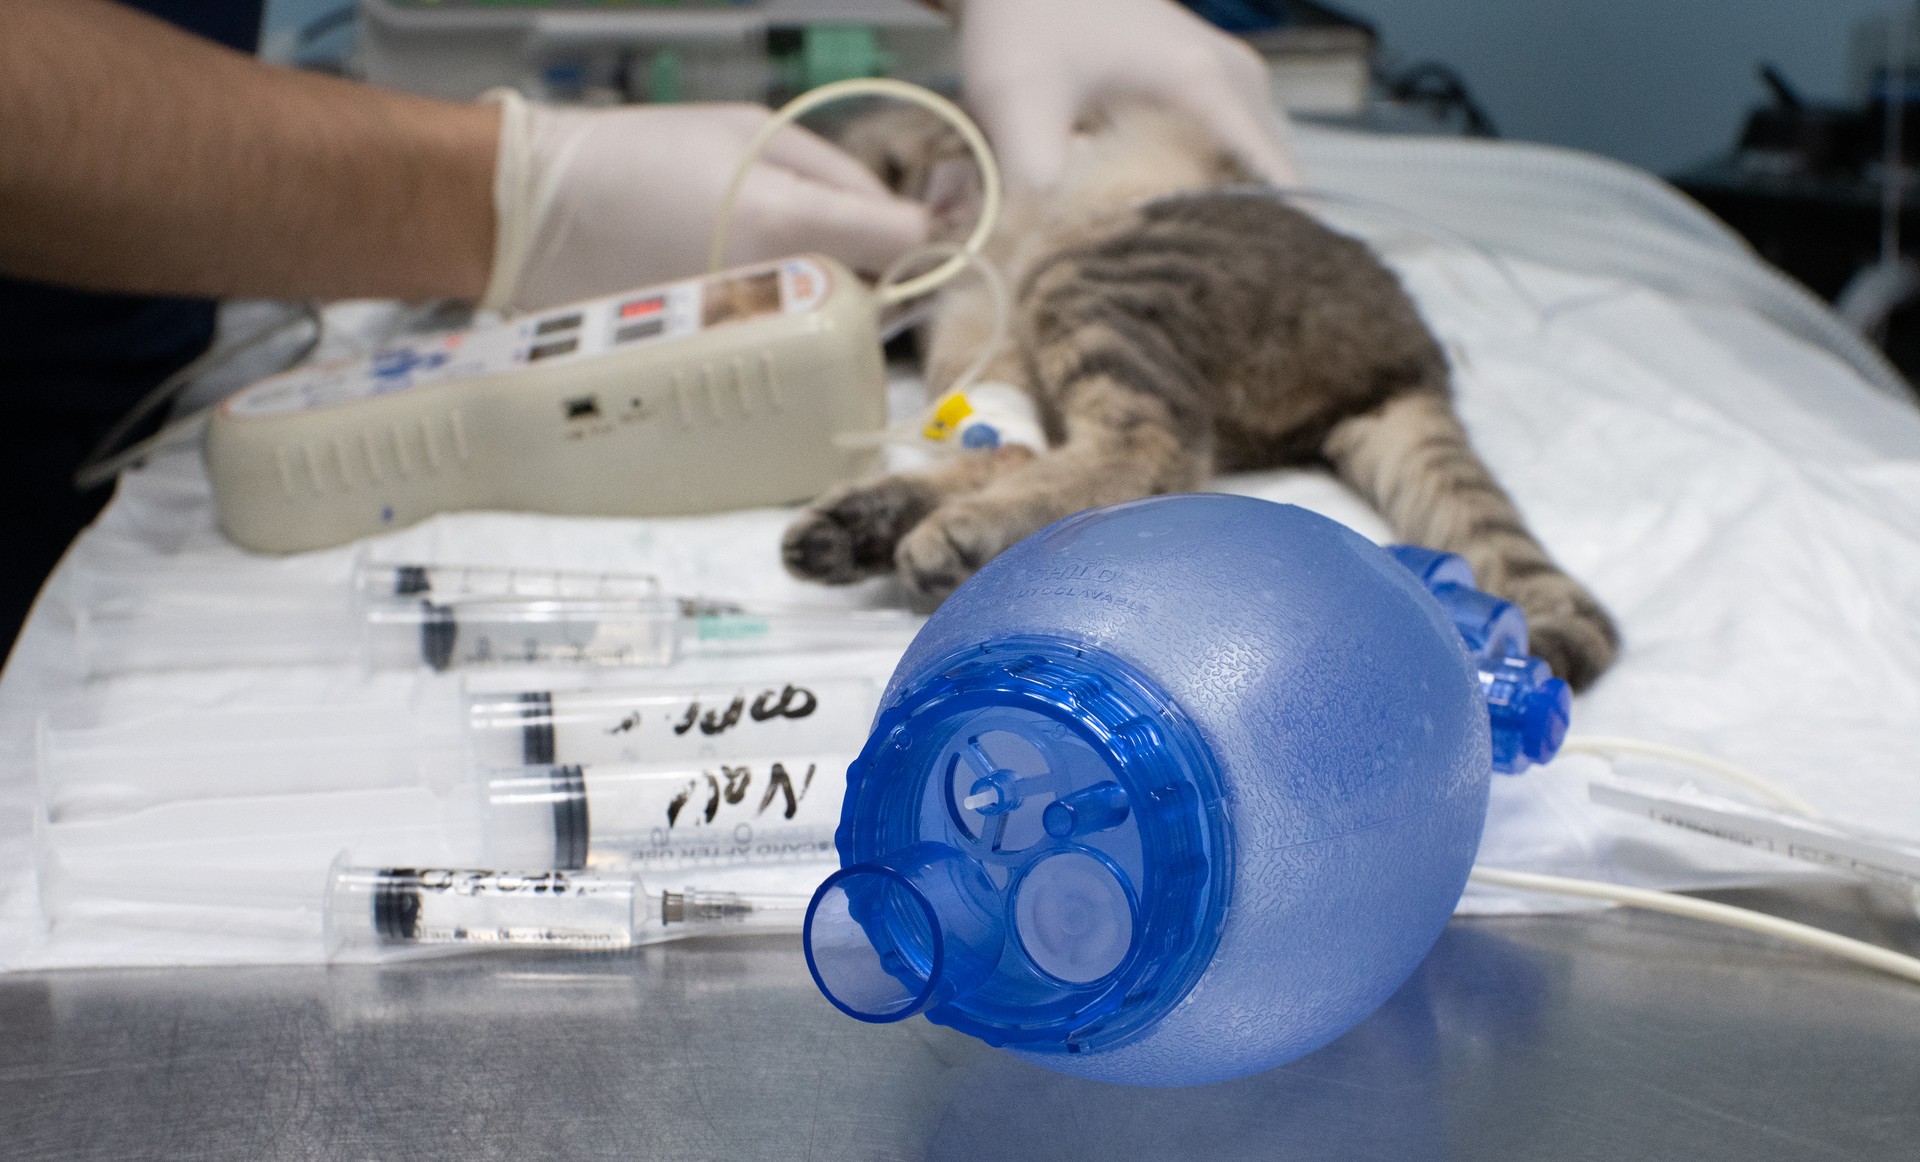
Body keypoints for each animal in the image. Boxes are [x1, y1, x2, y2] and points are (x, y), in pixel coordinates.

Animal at [779, 101, 1620, 687]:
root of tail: (1408, 361)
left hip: (1088, 272)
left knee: (1151, 448)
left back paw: (951, 535)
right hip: (1013, 328)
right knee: (1023, 450)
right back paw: (858, 526)